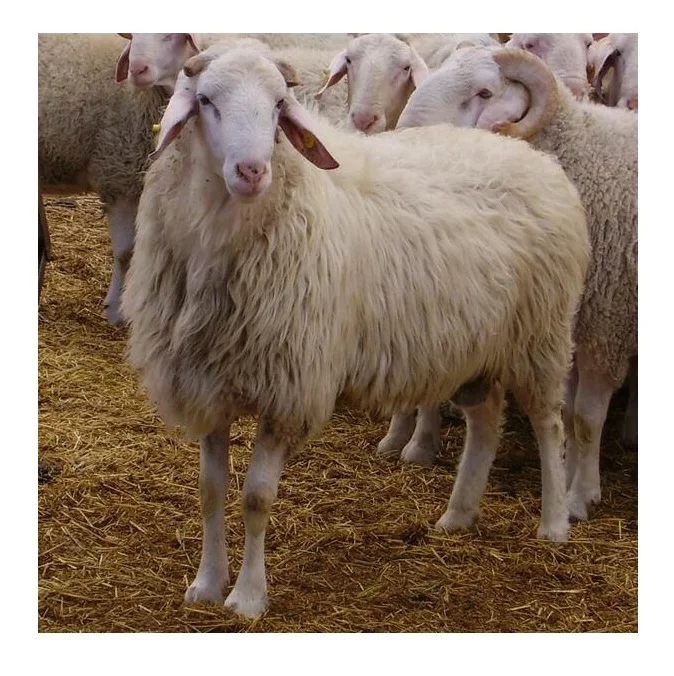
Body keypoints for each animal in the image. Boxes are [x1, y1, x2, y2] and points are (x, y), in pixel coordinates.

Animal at [122, 46, 590, 618]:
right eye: (206, 100)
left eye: (279, 105)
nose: (253, 171)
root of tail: (531, 156)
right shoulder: (209, 381)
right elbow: (210, 490)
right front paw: (207, 584)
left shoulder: (289, 388)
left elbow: (256, 497)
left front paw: (248, 597)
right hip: (474, 346)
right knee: (484, 423)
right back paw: (458, 515)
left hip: (542, 333)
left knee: (549, 425)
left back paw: (554, 524)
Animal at [397, 46, 637, 518]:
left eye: (485, 92)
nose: (406, 135)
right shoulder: (567, 323)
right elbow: (567, 414)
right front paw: (569, 478)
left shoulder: (607, 324)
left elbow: (586, 419)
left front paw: (580, 498)